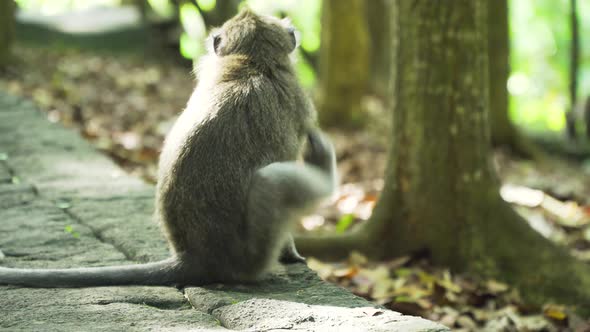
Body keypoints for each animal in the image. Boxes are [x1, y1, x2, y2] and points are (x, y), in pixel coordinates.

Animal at [0, 9, 338, 286]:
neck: (253, 63)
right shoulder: (301, 107)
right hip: (248, 256)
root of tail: (194, 258)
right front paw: (291, 253)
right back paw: (322, 165)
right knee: (272, 181)